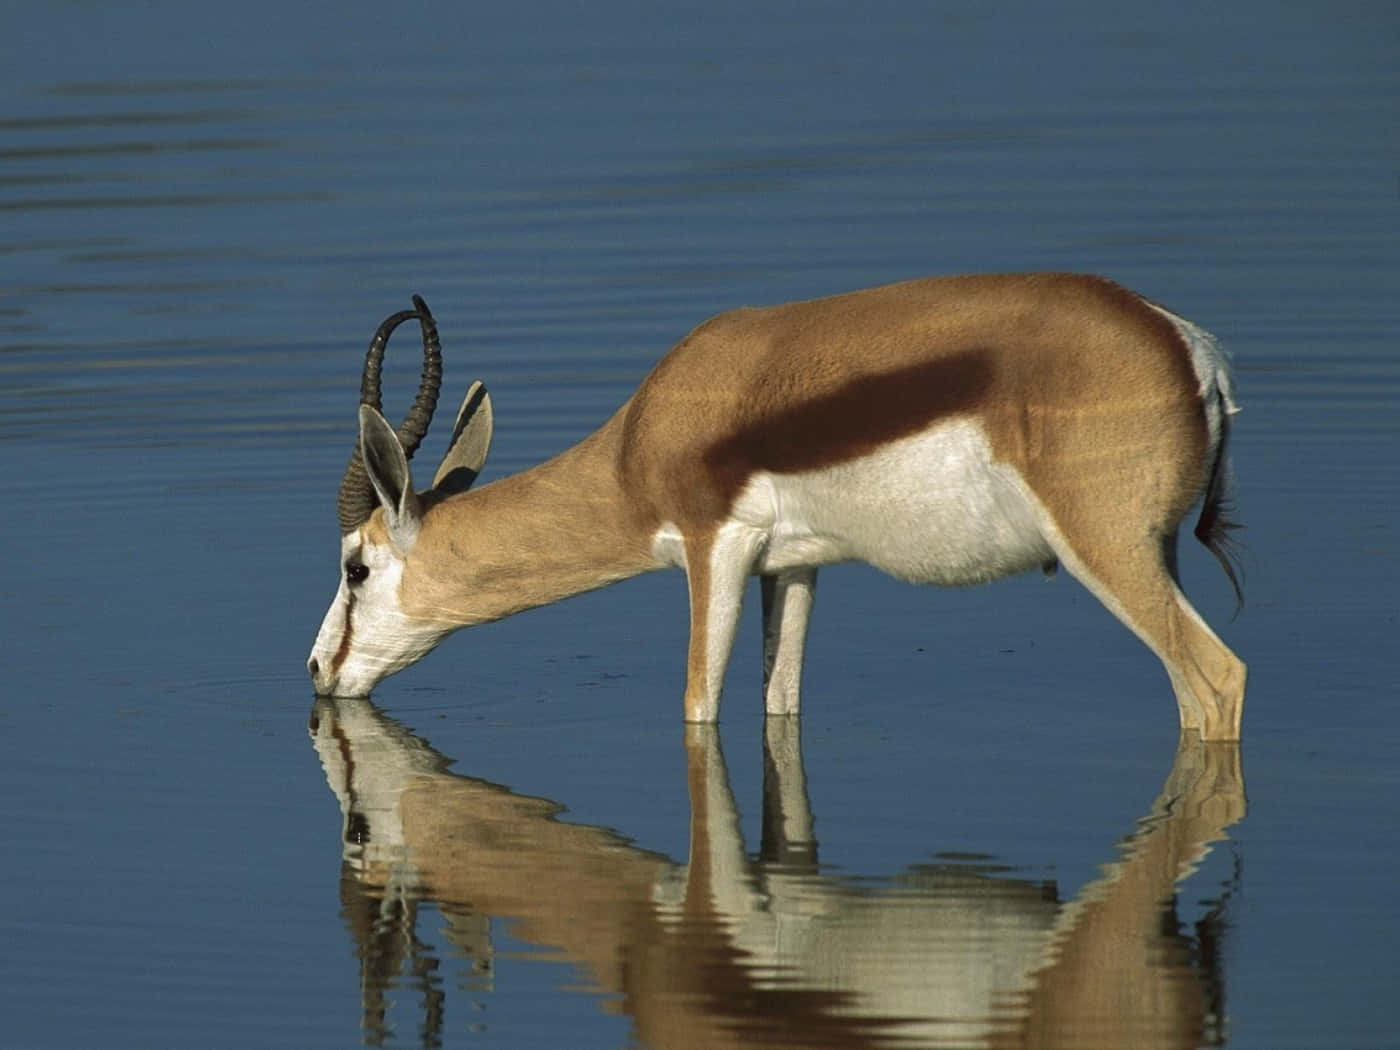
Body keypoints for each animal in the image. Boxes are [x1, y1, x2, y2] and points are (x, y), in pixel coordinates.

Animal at [309, 275, 1248, 744]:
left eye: (356, 567)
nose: (318, 673)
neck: (641, 442)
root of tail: (1191, 350)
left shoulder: (713, 549)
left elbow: (698, 706)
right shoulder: (793, 568)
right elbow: (780, 705)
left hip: (1109, 551)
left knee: (1217, 682)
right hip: (1151, 555)